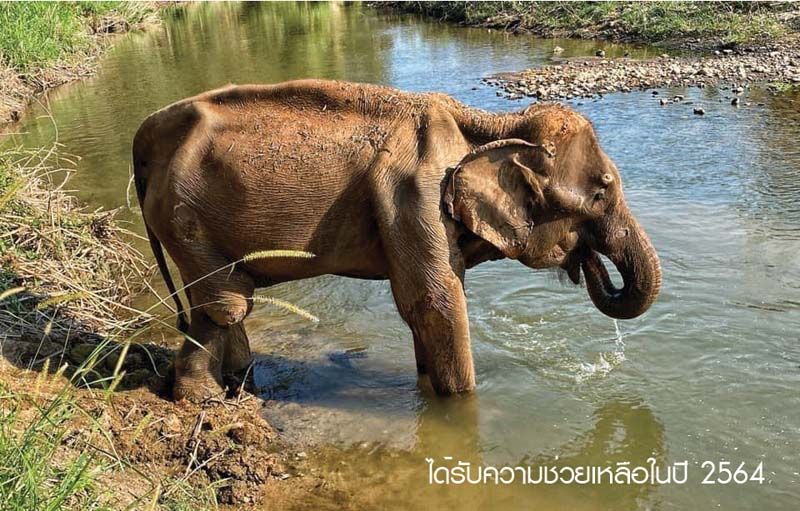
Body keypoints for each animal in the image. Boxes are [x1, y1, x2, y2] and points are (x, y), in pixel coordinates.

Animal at [132, 79, 661, 401]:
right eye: (601, 192)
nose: (589, 265)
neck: (490, 124)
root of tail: (146, 136)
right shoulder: (414, 197)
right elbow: (435, 303)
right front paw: (463, 406)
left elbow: (428, 308)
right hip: (184, 216)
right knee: (225, 303)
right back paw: (206, 399)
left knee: (220, 302)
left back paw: (241, 385)